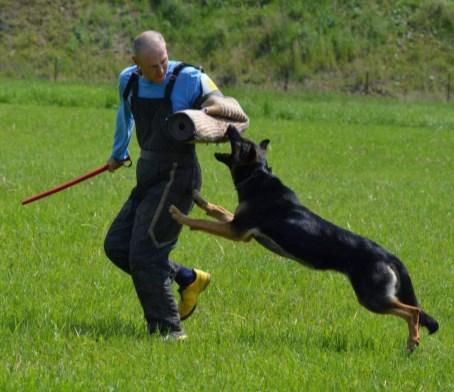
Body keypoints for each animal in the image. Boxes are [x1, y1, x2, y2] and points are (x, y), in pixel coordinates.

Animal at [168, 126, 438, 352]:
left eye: (240, 142)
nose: (231, 127)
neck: (258, 177)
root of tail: (389, 256)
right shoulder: (238, 224)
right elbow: (215, 208)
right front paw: (197, 198)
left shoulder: (236, 230)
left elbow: (203, 223)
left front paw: (180, 215)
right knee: (413, 311)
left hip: (372, 297)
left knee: (413, 311)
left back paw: (412, 342)